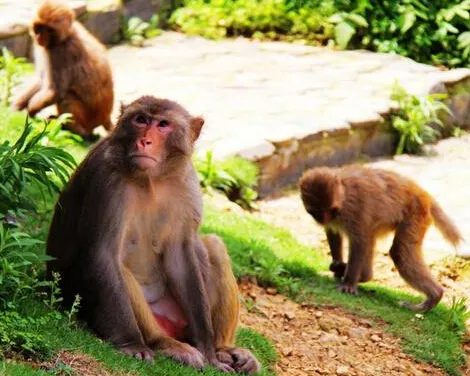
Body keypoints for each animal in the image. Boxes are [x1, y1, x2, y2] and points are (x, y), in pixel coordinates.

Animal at [12, 0, 114, 138]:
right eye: (39, 27)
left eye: (49, 30)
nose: (40, 38)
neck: (66, 36)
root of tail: (105, 118)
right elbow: (41, 80)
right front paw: (16, 106)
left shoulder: (61, 54)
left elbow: (55, 91)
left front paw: (30, 111)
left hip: (89, 120)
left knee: (67, 98)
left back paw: (76, 131)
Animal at [46, 94, 260, 374]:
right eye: (141, 120)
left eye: (163, 125)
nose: (145, 140)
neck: (151, 180)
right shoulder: (107, 180)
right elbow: (103, 254)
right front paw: (131, 344)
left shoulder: (187, 182)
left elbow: (182, 255)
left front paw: (209, 353)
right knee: (119, 268)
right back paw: (164, 343)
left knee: (213, 244)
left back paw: (223, 348)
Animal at [300, 167, 460, 312]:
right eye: (315, 212)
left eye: (332, 210)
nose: (323, 220)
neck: (344, 194)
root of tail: (421, 192)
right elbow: (333, 232)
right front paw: (337, 267)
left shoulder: (355, 208)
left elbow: (360, 242)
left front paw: (349, 282)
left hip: (416, 213)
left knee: (398, 251)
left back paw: (434, 296)